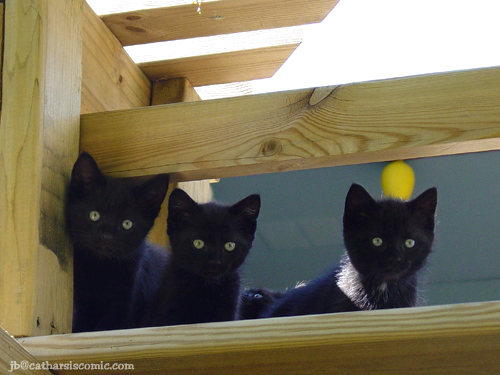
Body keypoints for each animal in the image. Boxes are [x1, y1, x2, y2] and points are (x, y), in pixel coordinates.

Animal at [66, 151, 170, 334]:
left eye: (127, 224)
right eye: (94, 215)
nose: (107, 237)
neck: (100, 267)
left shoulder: (123, 305)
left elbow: (108, 326)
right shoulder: (83, 305)